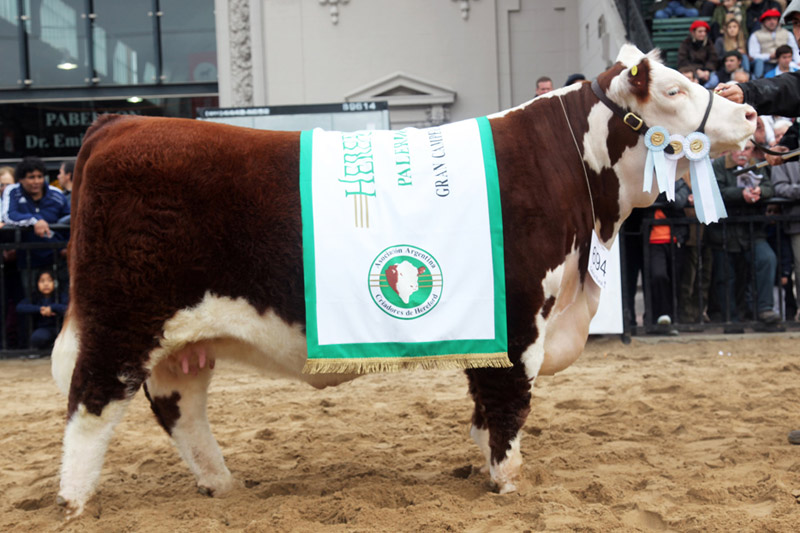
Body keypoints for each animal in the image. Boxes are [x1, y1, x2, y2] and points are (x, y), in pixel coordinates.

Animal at [51, 45, 756, 516]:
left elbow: (482, 402)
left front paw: (482, 464)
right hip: (122, 318)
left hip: (182, 336)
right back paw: (75, 502)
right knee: (91, 402)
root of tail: (120, 123)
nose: (749, 114)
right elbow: (509, 400)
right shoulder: (520, 312)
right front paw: (507, 481)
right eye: (673, 92)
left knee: (179, 406)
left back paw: (221, 484)